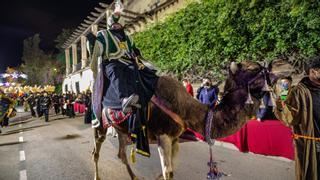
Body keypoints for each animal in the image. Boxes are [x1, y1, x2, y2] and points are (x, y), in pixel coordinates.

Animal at [91, 61, 276, 179]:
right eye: (253, 68)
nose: (274, 76)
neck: (184, 107)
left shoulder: (174, 138)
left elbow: (172, 169)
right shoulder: (163, 135)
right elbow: (167, 171)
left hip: (121, 128)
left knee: (121, 153)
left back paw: (135, 177)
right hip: (99, 124)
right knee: (96, 151)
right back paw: (97, 176)